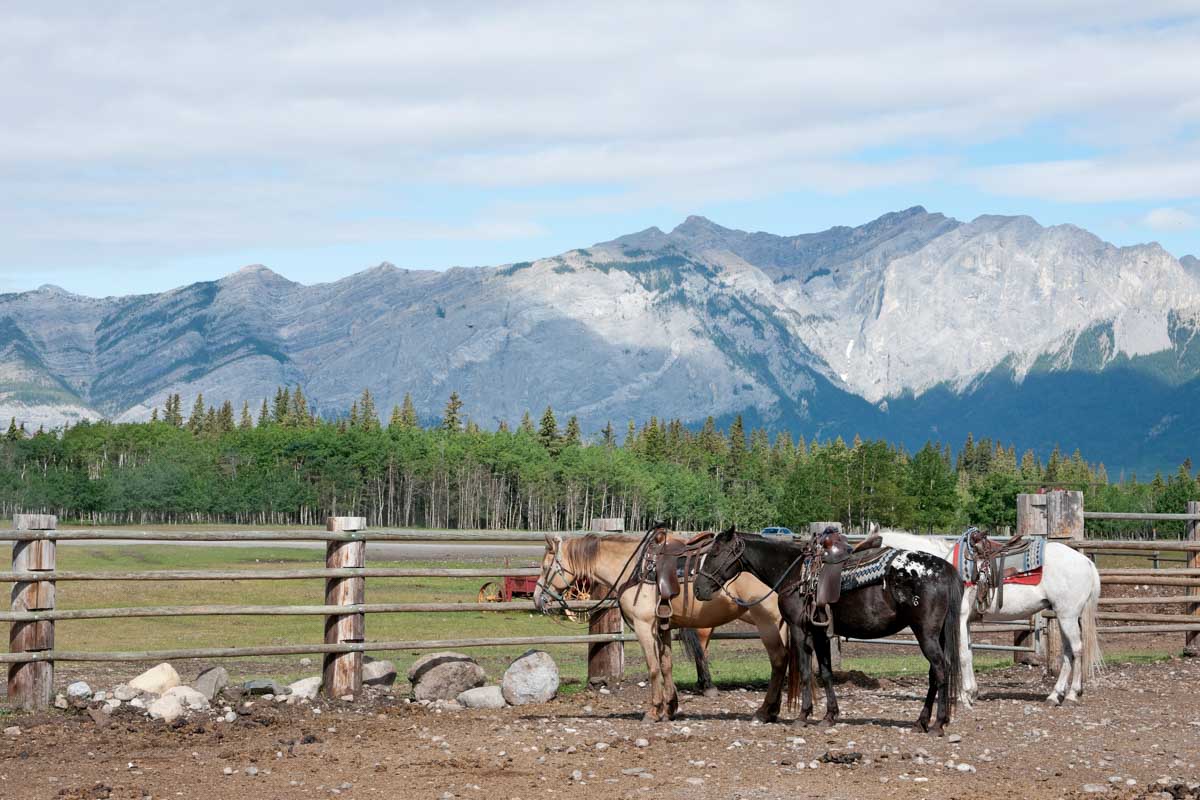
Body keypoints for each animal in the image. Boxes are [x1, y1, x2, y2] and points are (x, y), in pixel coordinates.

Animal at [532, 529, 788, 723]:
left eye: (545, 567)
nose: (537, 599)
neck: (634, 569)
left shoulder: (644, 626)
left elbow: (653, 667)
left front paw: (654, 710)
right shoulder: (664, 627)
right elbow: (666, 665)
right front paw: (670, 708)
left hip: (768, 623)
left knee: (778, 660)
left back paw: (765, 711)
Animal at [693, 528, 963, 735]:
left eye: (715, 553)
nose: (698, 589)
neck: (796, 574)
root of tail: (945, 569)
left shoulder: (800, 630)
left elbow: (805, 671)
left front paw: (802, 715)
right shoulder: (820, 633)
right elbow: (825, 673)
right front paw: (830, 716)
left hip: (925, 633)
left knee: (940, 670)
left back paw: (937, 724)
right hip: (935, 635)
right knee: (935, 674)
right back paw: (921, 722)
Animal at [876, 526, 1101, 707]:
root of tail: (1086, 562)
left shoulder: (957, 619)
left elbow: (960, 655)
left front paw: (963, 697)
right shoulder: (965, 621)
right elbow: (968, 653)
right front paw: (970, 693)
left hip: (1067, 616)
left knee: (1077, 650)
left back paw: (1071, 695)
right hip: (1065, 617)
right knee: (1068, 652)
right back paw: (1055, 696)